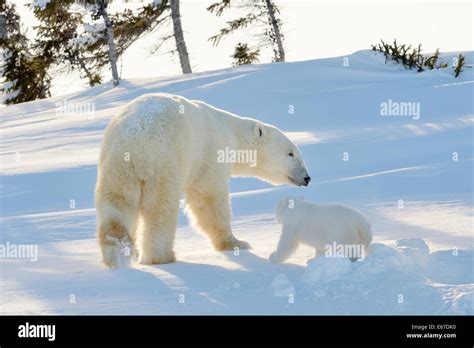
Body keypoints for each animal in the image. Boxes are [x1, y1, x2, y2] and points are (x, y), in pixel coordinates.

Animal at [96, 92, 312, 266]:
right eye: (291, 153)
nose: (307, 178)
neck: (232, 132)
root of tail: (134, 139)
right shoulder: (211, 155)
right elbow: (209, 200)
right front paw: (236, 243)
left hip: (116, 166)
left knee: (116, 205)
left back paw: (116, 253)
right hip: (165, 160)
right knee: (160, 208)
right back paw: (162, 256)